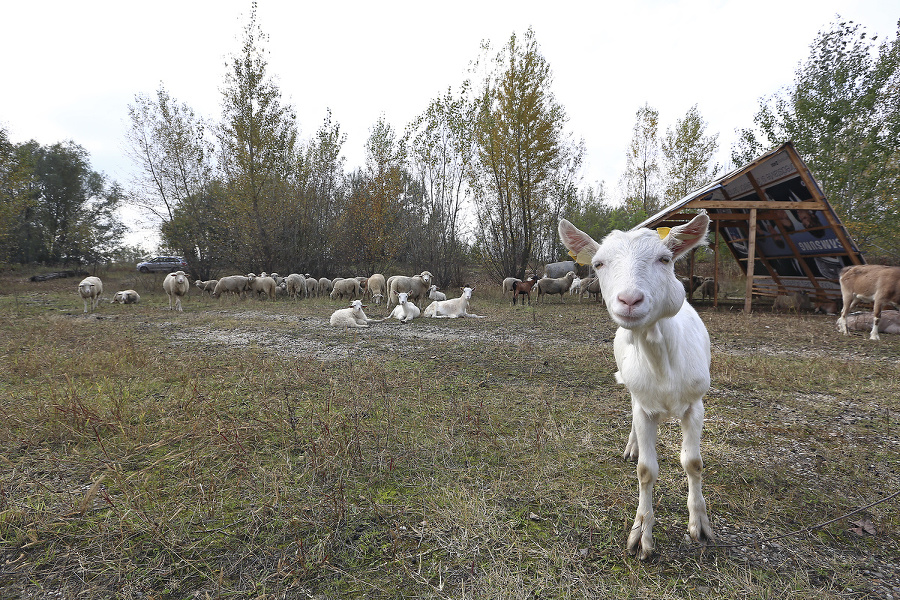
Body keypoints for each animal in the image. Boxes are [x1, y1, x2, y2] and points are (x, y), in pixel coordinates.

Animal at [560, 212, 712, 564]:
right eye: (599, 263)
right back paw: (632, 446)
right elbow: (646, 470)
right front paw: (641, 534)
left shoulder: (695, 404)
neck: (662, 360)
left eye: (665, 259)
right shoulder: (644, 405)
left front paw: (699, 525)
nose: (629, 300)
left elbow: (693, 463)